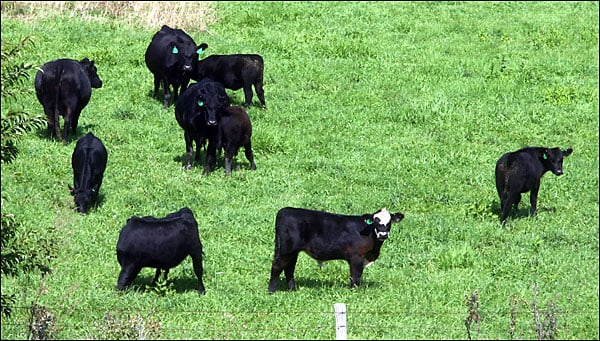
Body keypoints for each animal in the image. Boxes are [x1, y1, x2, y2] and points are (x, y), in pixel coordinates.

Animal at [270, 206, 406, 290]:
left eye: (389, 222)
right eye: (376, 221)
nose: (383, 235)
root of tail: (285, 210)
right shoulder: (356, 257)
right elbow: (355, 275)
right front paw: (354, 291)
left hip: (293, 251)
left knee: (289, 268)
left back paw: (292, 289)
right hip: (286, 250)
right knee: (277, 266)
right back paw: (271, 290)